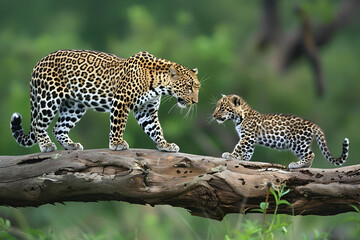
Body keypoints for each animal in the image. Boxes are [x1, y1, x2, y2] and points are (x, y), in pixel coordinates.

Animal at [9, 49, 200, 153]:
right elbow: (118, 124)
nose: (196, 102)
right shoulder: (121, 101)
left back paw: (71, 145)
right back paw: (47, 145)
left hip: (74, 106)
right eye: (189, 87)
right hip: (49, 98)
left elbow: (155, 129)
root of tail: (38, 63)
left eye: (197, 87)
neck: (158, 83)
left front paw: (164, 145)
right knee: (38, 124)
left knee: (58, 127)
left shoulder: (147, 110)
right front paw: (117, 143)